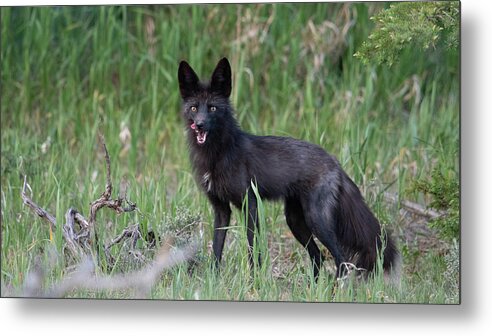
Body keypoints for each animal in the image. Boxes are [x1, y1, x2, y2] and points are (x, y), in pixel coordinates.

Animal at [179, 58, 398, 280]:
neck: (218, 156)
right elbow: (217, 249)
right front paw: (213, 280)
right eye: (194, 108)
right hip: (296, 222)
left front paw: (254, 281)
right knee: (318, 257)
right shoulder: (221, 208)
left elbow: (253, 249)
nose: (200, 125)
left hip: (317, 221)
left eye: (213, 108)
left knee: (341, 259)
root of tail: (334, 161)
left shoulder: (250, 204)